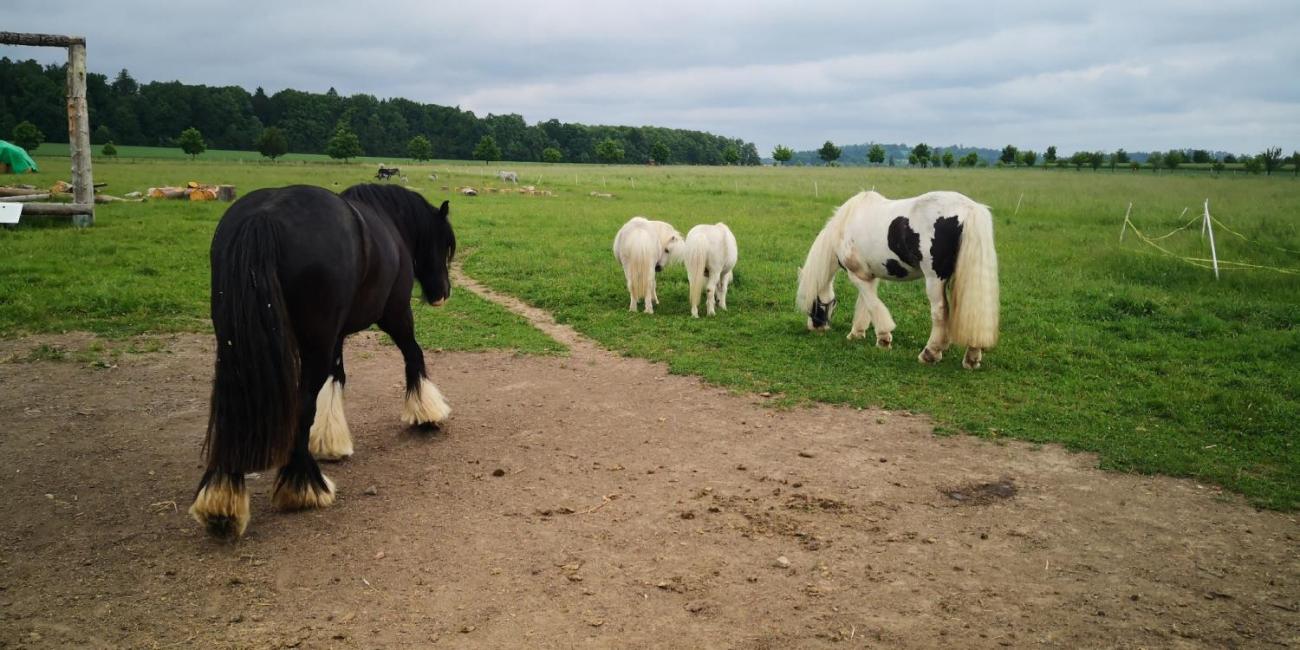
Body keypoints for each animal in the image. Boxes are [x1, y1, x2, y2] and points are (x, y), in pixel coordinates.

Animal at [189, 183, 457, 538]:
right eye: (444, 244)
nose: (443, 292)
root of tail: (264, 217)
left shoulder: (336, 334)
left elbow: (336, 377)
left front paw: (330, 440)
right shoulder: (396, 314)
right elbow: (413, 355)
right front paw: (426, 412)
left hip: (236, 343)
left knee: (233, 407)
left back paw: (221, 500)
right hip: (321, 340)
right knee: (302, 403)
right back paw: (303, 486)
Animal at [790, 189, 993, 369]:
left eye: (812, 302)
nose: (814, 327)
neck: (845, 225)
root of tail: (970, 209)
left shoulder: (857, 275)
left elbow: (872, 305)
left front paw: (883, 339)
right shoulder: (869, 276)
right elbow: (865, 305)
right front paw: (857, 333)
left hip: (935, 279)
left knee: (940, 311)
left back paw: (930, 353)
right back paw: (972, 357)